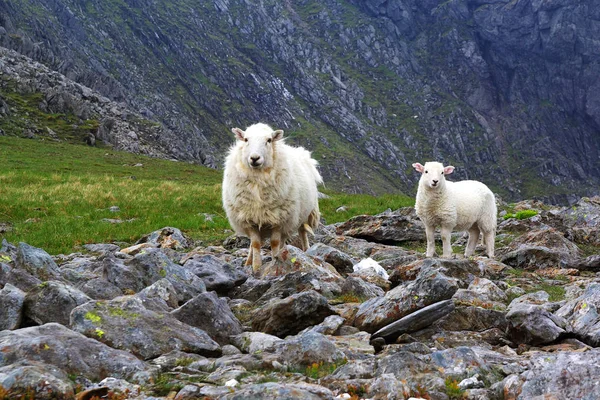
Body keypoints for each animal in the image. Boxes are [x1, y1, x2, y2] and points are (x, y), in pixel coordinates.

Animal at [221, 122, 324, 274]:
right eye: (246, 139)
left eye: (269, 140)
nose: (254, 158)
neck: (258, 181)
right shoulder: (249, 218)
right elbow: (255, 244)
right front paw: (256, 267)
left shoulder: (279, 219)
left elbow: (274, 242)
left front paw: (276, 260)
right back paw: (248, 261)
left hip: (303, 214)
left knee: (301, 233)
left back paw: (304, 250)